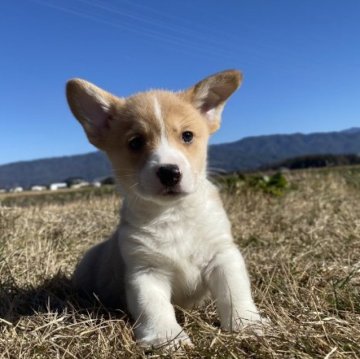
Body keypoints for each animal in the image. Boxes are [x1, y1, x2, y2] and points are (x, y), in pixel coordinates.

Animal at [66, 70, 262, 348]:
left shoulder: (223, 256)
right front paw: (167, 337)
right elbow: (155, 307)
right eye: (136, 142)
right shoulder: (146, 272)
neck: (174, 214)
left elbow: (234, 292)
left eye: (187, 136)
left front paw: (247, 325)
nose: (169, 172)